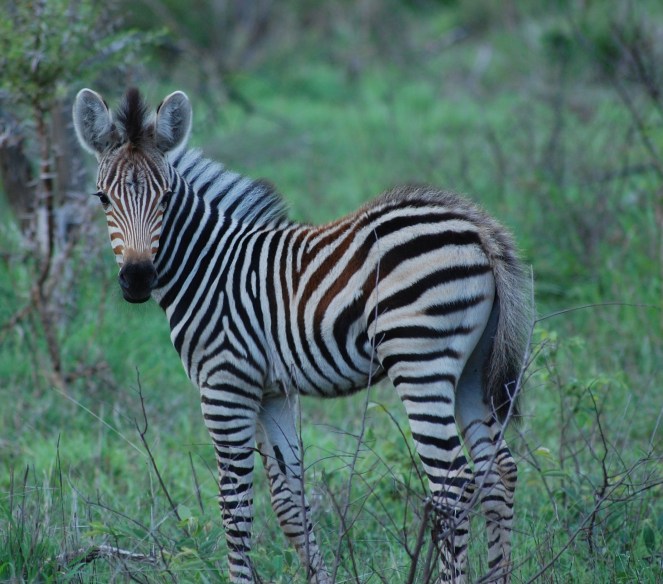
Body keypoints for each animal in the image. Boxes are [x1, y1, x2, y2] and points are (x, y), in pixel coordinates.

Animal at [73, 87, 533, 583]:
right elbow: (289, 502)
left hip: (419, 361)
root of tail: (476, 226)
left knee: (453, 483)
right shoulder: (272, 392)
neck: (209, 267)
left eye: (166, 198)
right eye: (102, 198)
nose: (137, 279)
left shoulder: (225, 385)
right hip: (472, 366)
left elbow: (234, 504)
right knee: (498, 471)